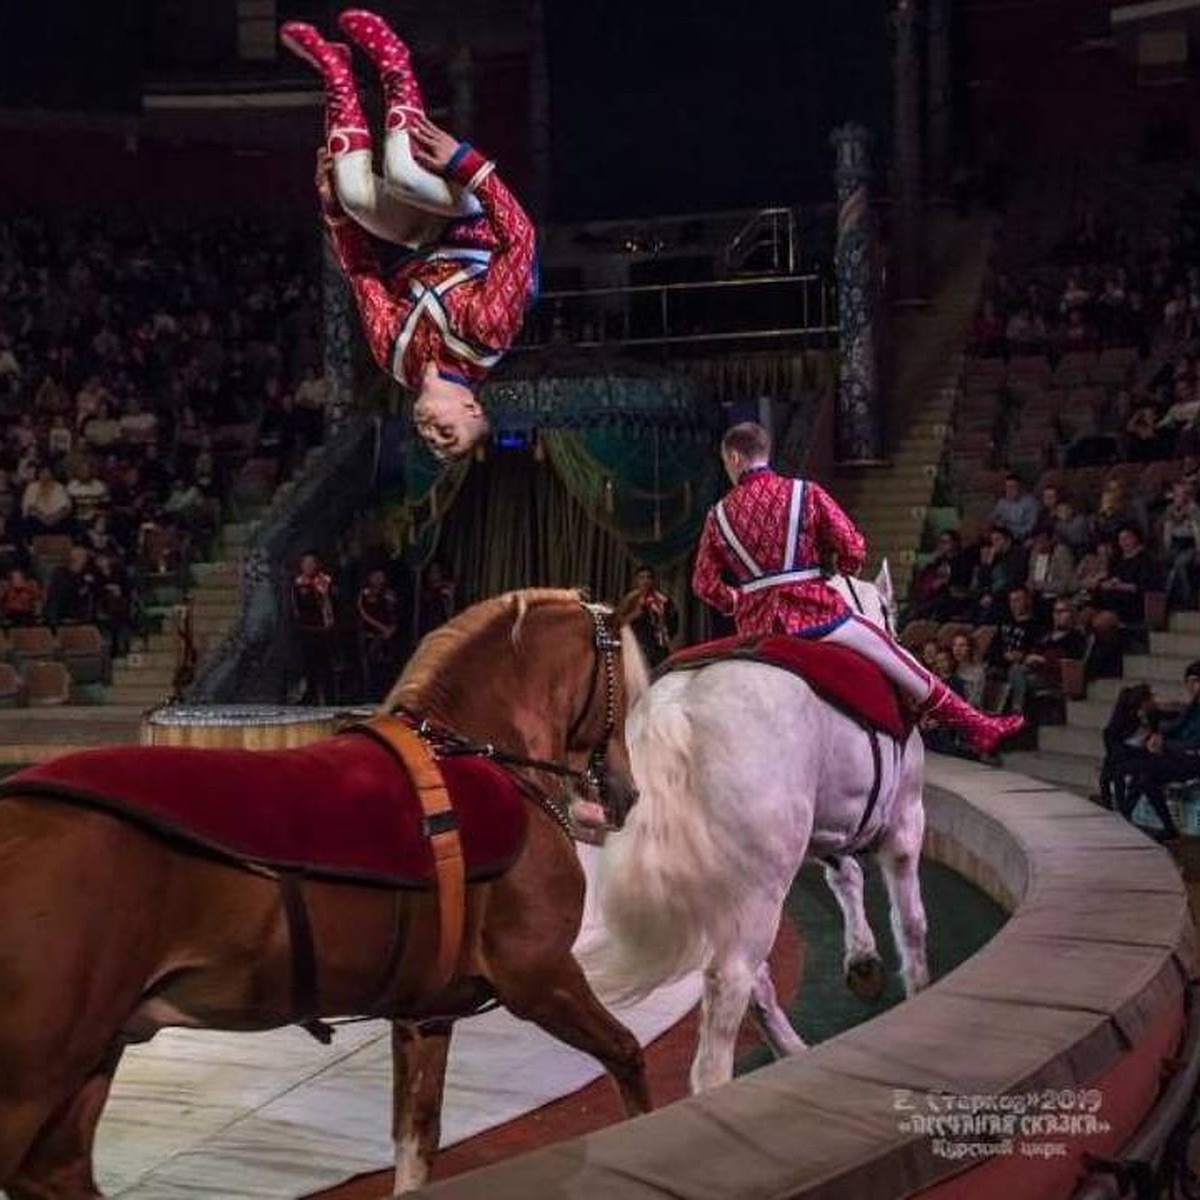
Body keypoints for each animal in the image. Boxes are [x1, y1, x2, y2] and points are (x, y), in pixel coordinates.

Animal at [0, 590, 652, 1200]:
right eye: (622, 690)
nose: (625, 794)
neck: (473, 757)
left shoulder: (426, 1013)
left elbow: (416, 1139)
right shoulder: (539, 976)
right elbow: (627, 1056)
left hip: (95, 1052)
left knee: (58, 1173)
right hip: (33, 1082)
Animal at [578, 566, 926, 1094]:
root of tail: (673, 709)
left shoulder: (824, 828)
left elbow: (845, 875)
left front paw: (863, 960)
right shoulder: (905, 821)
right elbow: (911, 921)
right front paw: (919, 990)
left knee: (755, 980)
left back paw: (793, 1050)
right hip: (758, 889)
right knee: (733, 983)